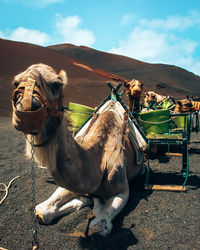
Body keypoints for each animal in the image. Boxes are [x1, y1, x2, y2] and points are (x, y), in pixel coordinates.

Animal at [11, 62, 145, 236]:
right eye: (15, 83)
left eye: (57, 84)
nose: (28, 106)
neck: (99, 160)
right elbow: (41, 211)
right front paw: (86, 200)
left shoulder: (122, 191)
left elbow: (98, 225)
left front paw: (95, 207)